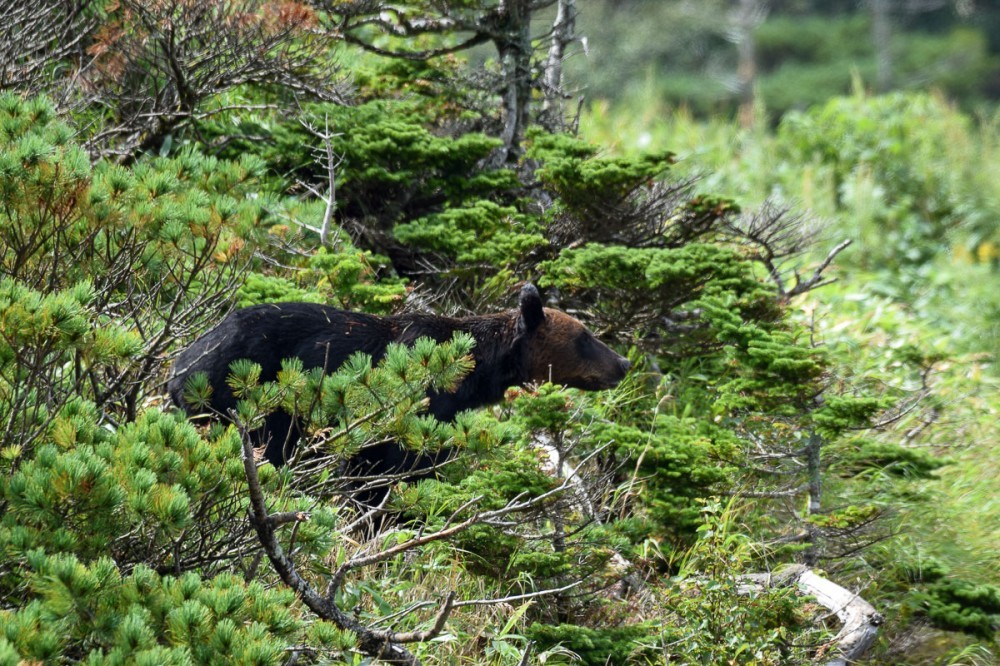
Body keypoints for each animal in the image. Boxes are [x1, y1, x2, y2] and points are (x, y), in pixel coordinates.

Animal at [168, 282, 628, 496]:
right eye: (585, 337)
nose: (623, 364)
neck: (471, 375)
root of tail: (178, 364)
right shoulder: (409, 410)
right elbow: (387, 470)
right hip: (238, 399)